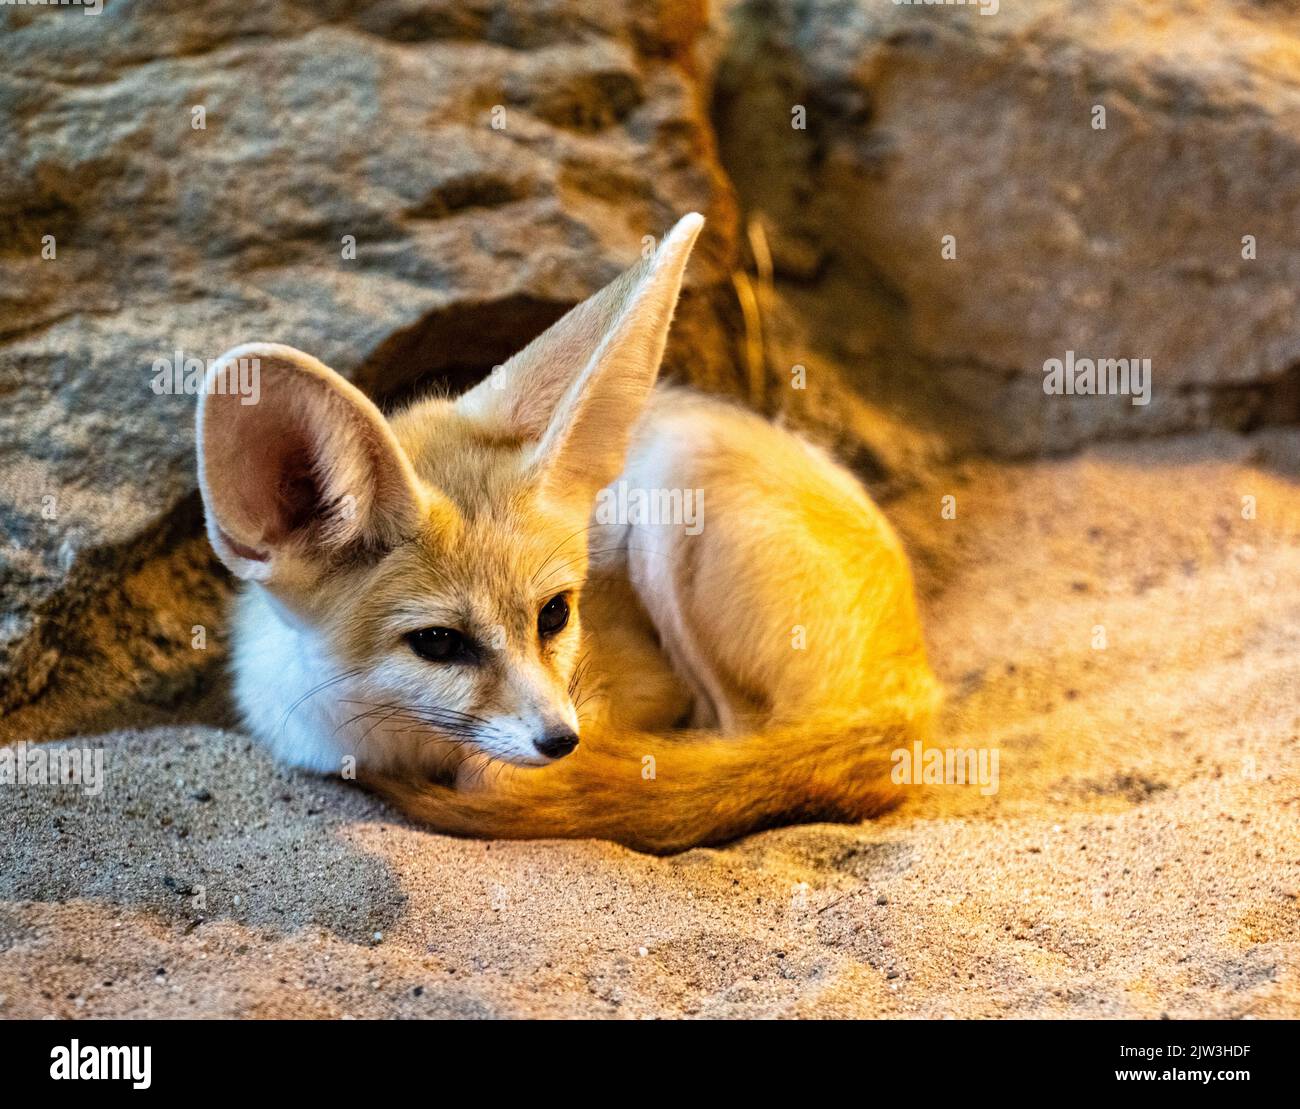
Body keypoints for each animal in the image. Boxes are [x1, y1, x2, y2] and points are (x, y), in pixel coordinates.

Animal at [197, 211, 941, 847]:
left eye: (554, 613)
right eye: (437, 642)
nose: (561, 742)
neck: (397, 743)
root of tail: (919, 683)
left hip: (679, 478)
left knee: (740, 747)